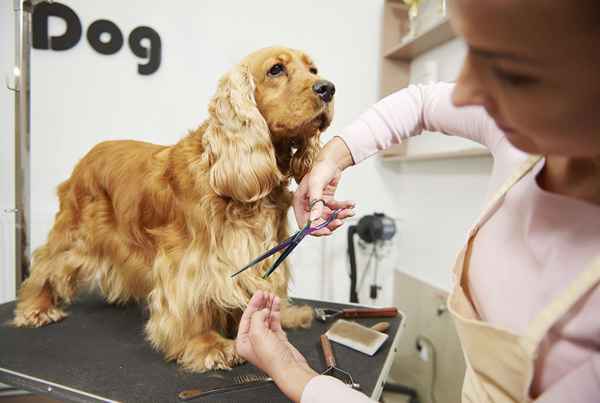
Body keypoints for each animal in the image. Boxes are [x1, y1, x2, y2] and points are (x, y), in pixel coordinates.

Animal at [12, 46, 332, 372]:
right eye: (276, 69)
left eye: (313, 70)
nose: (328, 89)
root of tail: (87, 156)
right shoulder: (191, 262)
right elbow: (194, 305)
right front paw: (208, 345)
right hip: (75, 232)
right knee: (46, 263)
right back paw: (36, 308)